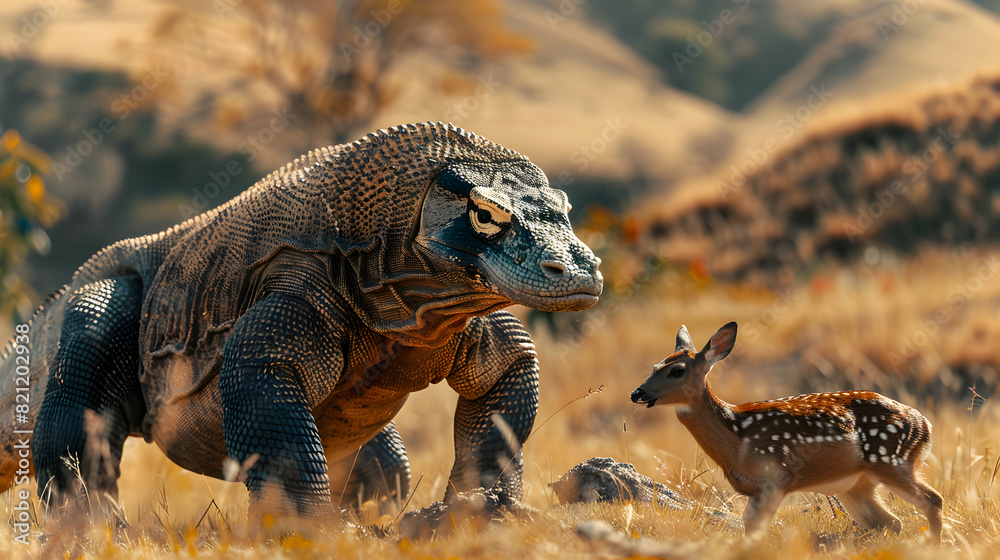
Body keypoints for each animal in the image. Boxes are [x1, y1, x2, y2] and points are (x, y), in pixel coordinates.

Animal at [630, 322, 942, 542]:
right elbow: (749, 527)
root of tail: (925, 424)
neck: (736, 439)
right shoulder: (756, 488)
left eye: (677, 371)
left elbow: (755, 529)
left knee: (931, 500)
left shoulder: (777, 476)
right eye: (655, 365)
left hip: (891, 460)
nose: (637, 393)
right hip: (855, 484)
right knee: (890, 522)